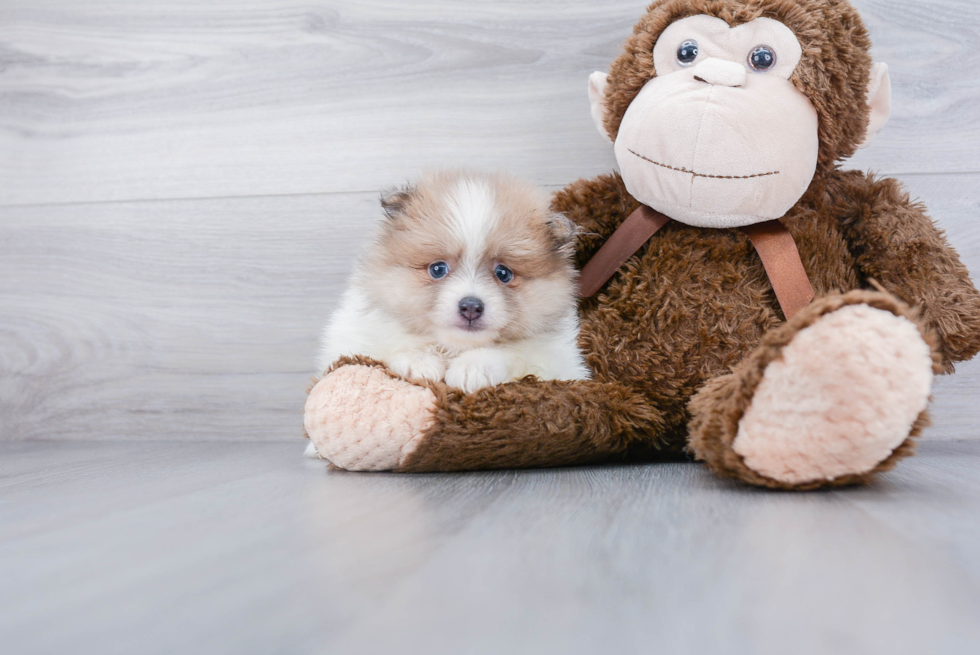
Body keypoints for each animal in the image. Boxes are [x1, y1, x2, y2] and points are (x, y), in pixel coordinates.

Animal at [316, 170, 588, 394]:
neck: (453, 347)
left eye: (503, 273)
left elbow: (512, 353)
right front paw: (418, 362)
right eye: (438, 269)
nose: (471, 307)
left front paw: (474, 368)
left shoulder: (559, 365)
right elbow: (399, 342)